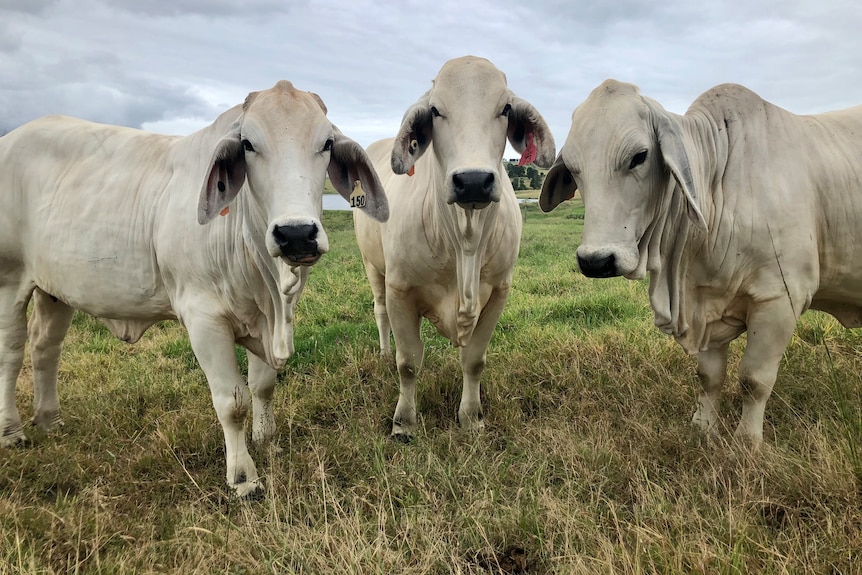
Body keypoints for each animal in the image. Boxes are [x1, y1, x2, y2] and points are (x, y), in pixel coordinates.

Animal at [0, 79, 388, 498]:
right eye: (248, 144)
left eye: (327, 142)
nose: (296, 234)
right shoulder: (204, 319)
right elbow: (232, 401)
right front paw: (244, 477)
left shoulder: (264, 316)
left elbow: (263, 385)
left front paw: (266, 438)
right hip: (9, 279)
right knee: (11, 352)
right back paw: (12, 431)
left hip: (54, 289)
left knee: (45, 347)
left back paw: (50, 420)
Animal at [354, 56, 556, 438]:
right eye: (435, 110)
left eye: (505, 108)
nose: (473, 181)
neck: (465, 242)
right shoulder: (400, 290)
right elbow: (408, 363)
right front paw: (404, 422)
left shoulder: (498, 292)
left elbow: (473, 360)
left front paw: (471, 417)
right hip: (373, 267)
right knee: (380, 311)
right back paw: (384, 354)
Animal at [544, 77, 860, 446]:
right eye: (573, 167)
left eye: (639, 156)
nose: (596, 261)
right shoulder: (705, 301)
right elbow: (708, 376)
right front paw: (704, 427)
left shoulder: (779, 299)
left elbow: (754, 381)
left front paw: (747, 442)